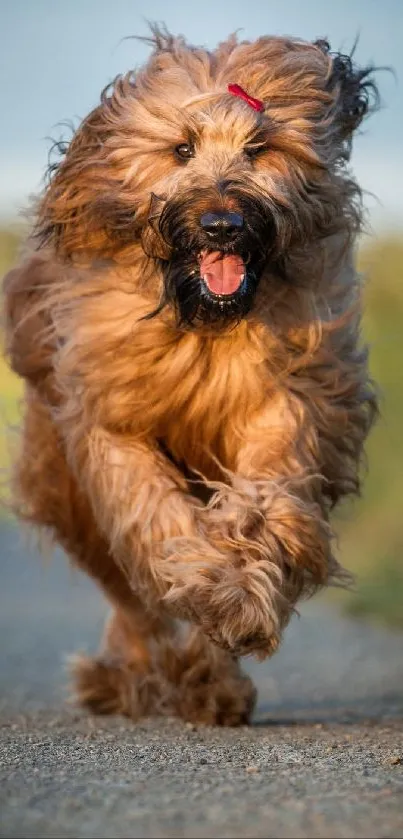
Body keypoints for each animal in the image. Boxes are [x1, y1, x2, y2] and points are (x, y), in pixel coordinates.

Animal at [1, 24, 378, 720]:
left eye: (260, 147)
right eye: (181, 149)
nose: (222, 224)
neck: (203, 325)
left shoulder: (286, 398)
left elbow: (263, 501)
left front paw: (238, 600)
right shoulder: (110, 418)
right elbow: (153, 513)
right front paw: (208, 584)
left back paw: (209, 680)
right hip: (64, 485)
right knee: (128, 592)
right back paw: (142, 675)